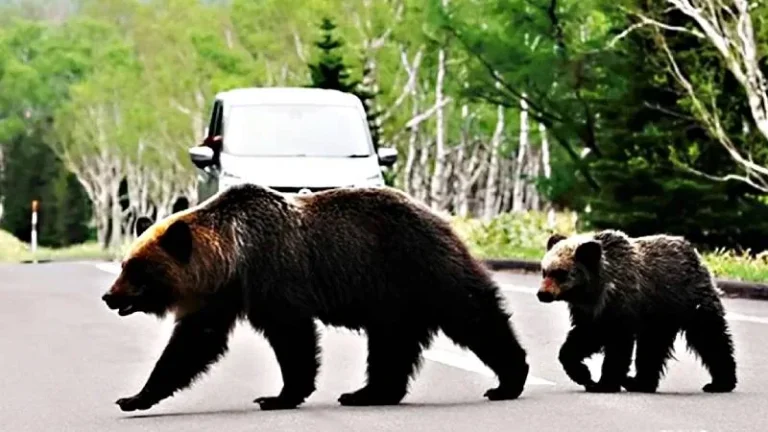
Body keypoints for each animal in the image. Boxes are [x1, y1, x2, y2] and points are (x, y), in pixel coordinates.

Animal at [101, 183, 530, 412]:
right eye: (124, 263)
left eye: (136, 270)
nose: (109, 296)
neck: (233, 259)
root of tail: (442, 217)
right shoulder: (220, 296)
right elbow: (192, 343)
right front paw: (135, 397)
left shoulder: (273, 276)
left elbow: (292, 337)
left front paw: (278, 395)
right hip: (393, 299)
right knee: (391, 345)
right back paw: (367, 392)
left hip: (417, 265)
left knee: (472, 314)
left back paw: (508, 380)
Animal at [537, 229, 737, 394]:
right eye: (544, 271)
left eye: (561, 273)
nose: (542, 294)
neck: (594, 291)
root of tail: (693, 250)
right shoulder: (589, 313)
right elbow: (582, 339)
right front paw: (584, 374)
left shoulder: (621, 307)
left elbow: (617, 346)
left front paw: (604, 383)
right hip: (660, 318)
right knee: (652, 347)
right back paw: (640, 382)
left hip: (688, 300)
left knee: (709, 336)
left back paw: (720, 382)